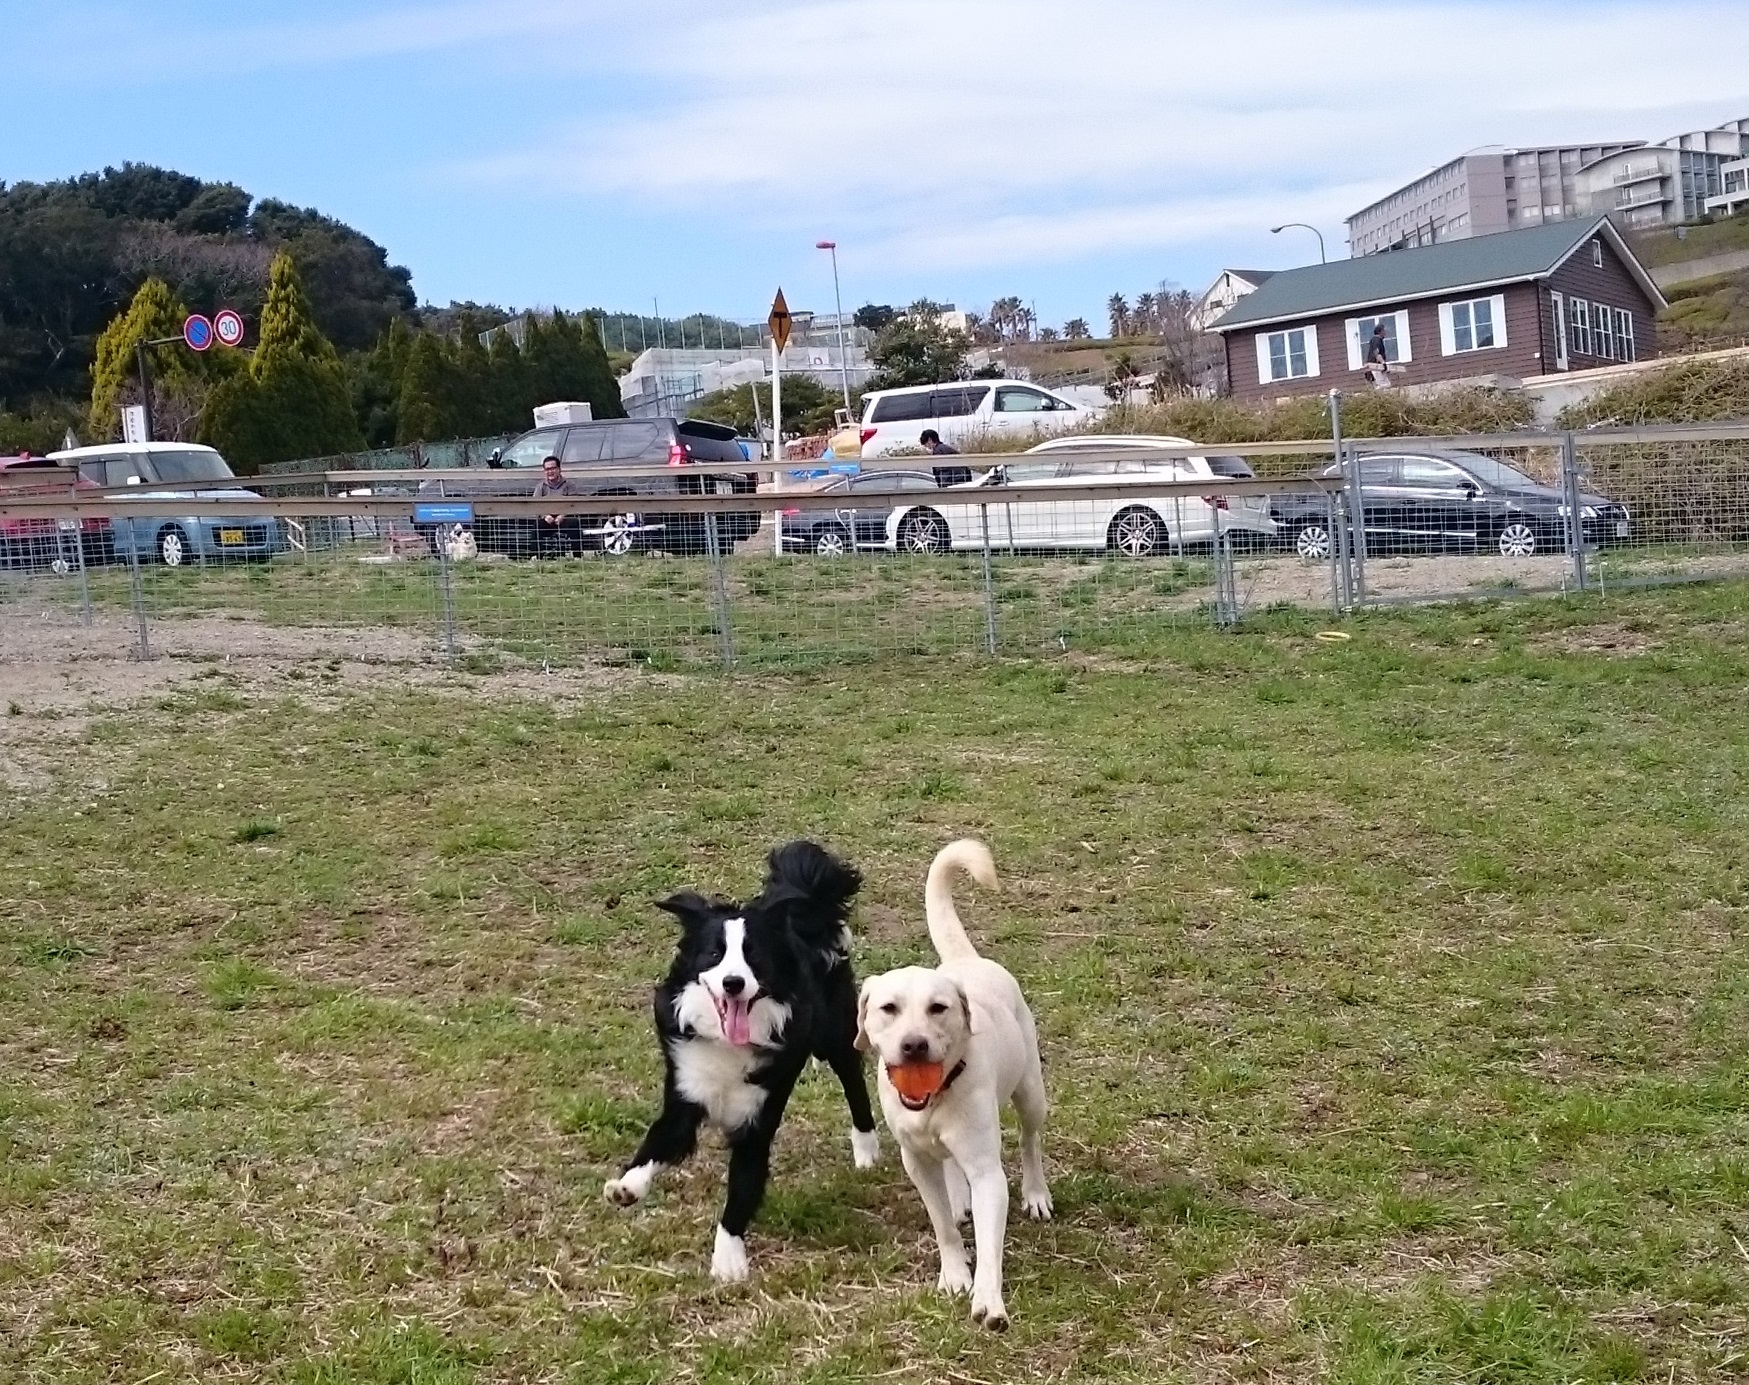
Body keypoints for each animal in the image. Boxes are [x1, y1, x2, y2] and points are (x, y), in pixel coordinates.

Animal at [853, 832, 1042, 1329]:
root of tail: (964, 960)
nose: (914, 1045)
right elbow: (941, 1224)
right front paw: (955, 1275)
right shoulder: (916, 1161)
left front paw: (989, 1300)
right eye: (889, 1008)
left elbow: (992, 1243)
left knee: (1031, 1141)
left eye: (938, 1008)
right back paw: (960, 1200)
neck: (937, 1098)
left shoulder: (988, 1171)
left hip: (1031, 1092)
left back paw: (1037, 1194)